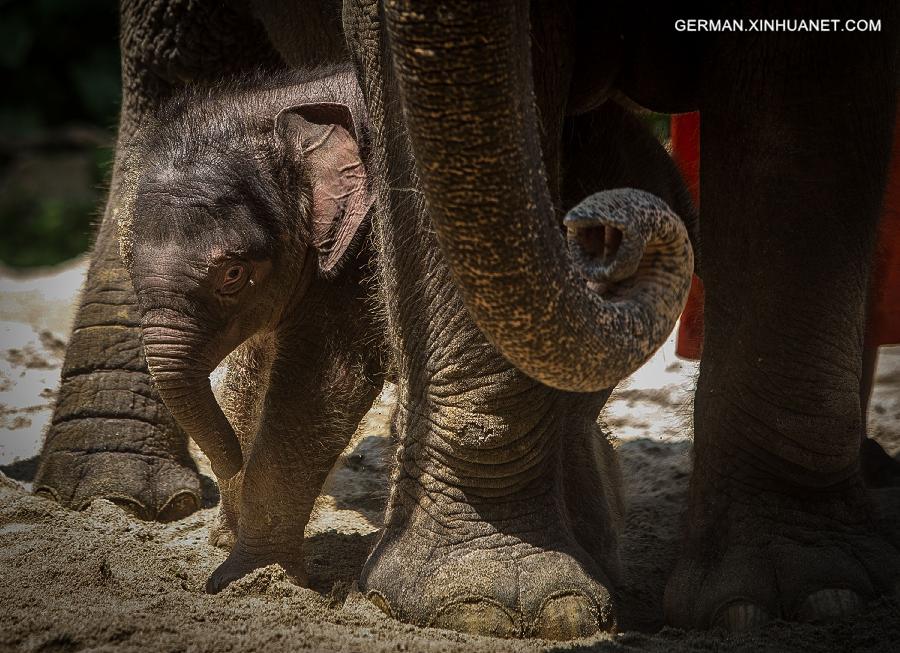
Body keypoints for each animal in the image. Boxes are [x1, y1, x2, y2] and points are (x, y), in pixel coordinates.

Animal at [116, 67, 384, 592]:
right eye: (125, 259)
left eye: (233, 274)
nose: (232, 463)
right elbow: (247, 376)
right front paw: (226, 540)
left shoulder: (358, 262)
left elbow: (323, 387)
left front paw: (247, 574)